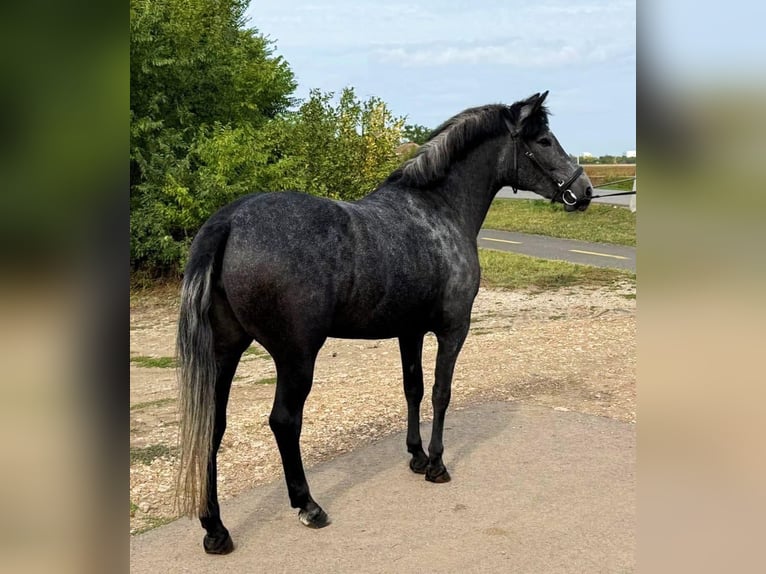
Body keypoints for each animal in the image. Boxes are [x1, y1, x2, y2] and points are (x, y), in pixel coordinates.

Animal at [175, 91, 593, 554]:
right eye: (543, 140)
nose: (584, 190)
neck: (438, 209)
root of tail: (230, 220)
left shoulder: (408, 331)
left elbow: (413, 389)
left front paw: (417, 456)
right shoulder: (453, 330)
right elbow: (441, 393)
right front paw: (437, 464)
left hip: (226, 350)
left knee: (212, 428)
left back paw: (215, 528)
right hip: (296, 356)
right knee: (284, 422)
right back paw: (308, 506)